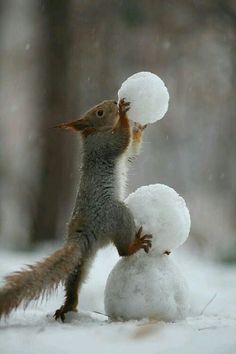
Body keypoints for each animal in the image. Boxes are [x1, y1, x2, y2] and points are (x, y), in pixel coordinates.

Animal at [0, 97, 151, 320]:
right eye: (99, 112)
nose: (113, 102)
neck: (94, 133)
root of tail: (82, 233)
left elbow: (132, 147)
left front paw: (140, 127)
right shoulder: (106, 145)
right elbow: (123, 139)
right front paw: (124, 114)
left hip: (83, 260)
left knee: (74, 280)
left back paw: (67, 306)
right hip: (117, 214)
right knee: (122, 252)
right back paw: (135, 244)